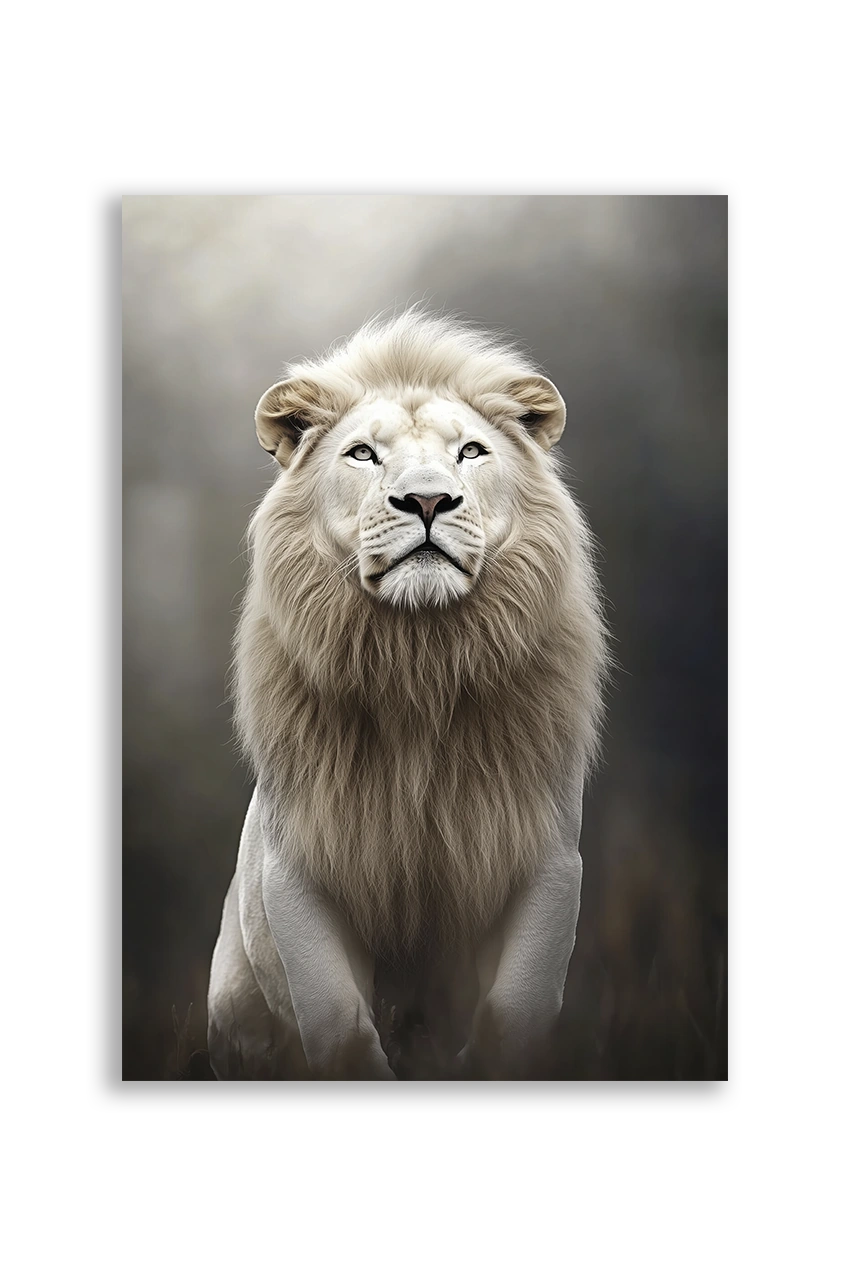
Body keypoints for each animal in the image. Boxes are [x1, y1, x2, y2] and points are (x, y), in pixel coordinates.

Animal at [207, 309, 608, 1080]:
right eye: (362, 454)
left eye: (471, 452)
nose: (426, 500)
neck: (420, 662)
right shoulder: (298, 863)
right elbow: (336, 1022)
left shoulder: (544, 854)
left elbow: (514, 1009)